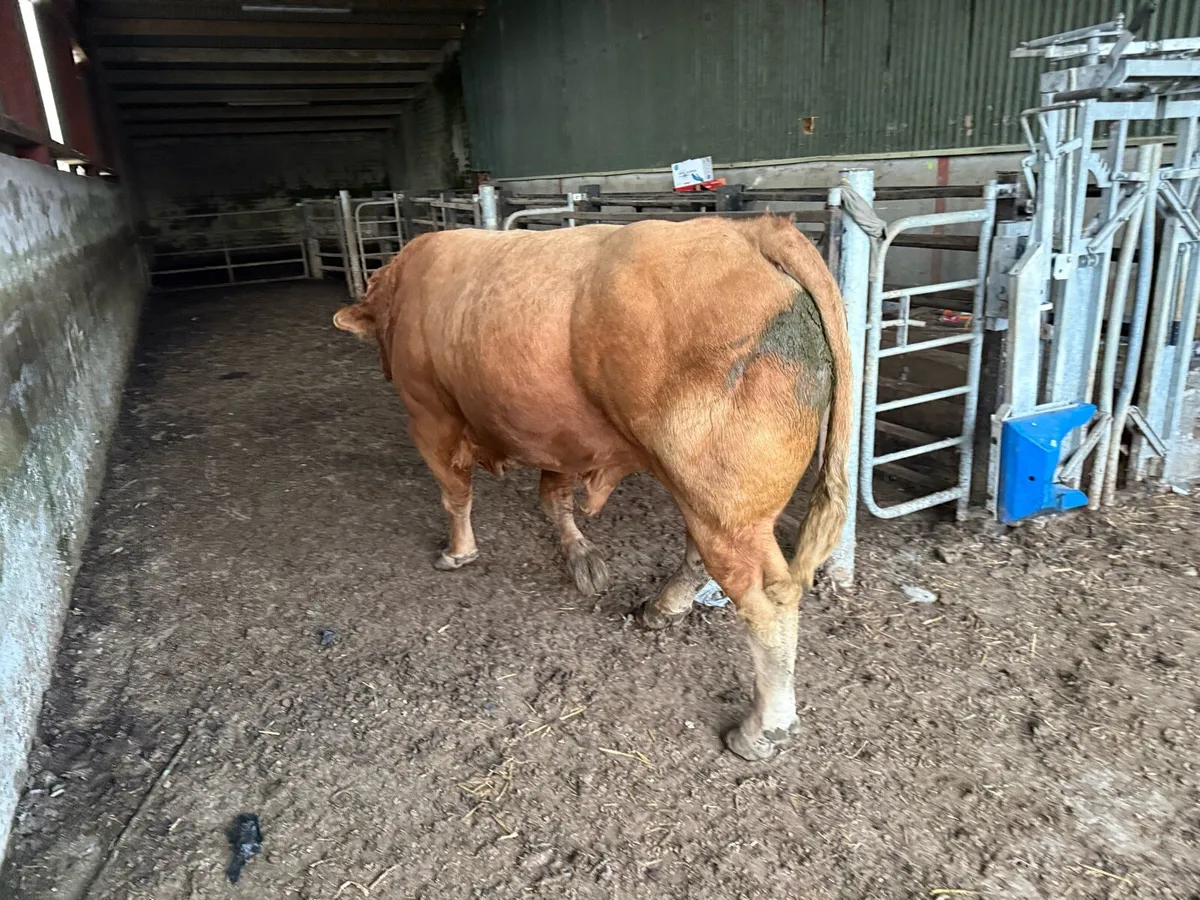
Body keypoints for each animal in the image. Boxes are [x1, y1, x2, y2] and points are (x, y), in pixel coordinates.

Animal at [333, 215, 851, 761]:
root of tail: (746, 229)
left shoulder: (429, 415)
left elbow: (455, 493)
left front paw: (457, 552)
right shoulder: (561, 436)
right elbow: (554, 499)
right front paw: (582, 557)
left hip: (726, 500)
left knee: (767, 598)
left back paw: (761, 730)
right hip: (708, 493)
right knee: (701, 553)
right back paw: (660, 609)